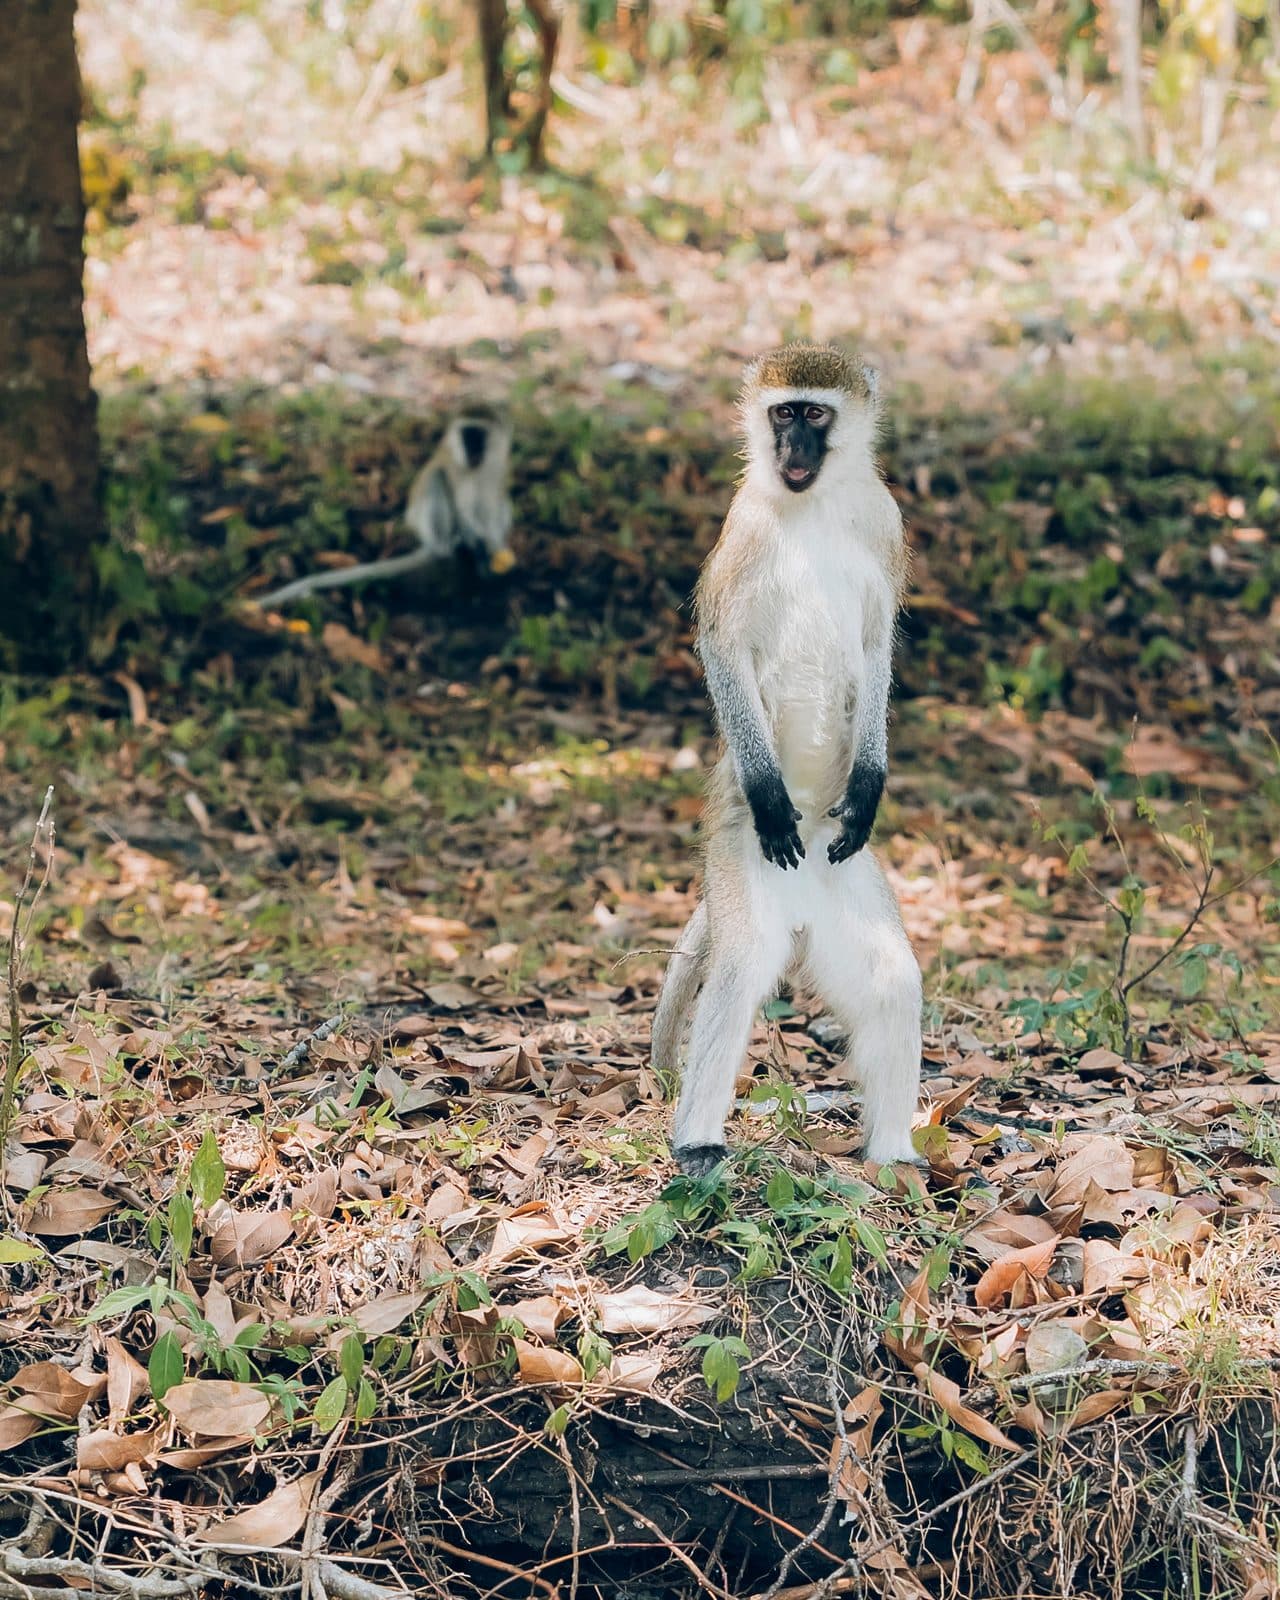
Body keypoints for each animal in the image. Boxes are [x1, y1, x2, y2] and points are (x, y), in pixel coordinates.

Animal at [253, 406, 515, 609]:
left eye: (479, 435)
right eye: (467, 435)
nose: (472, 451)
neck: (477, 467)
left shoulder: (497, 466)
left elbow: (492, 506)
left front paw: (495, 550)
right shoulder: (457, 470)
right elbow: (462, 508)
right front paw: (481, 548)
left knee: (500, 502)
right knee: (437, 480)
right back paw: (447, 547)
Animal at [650, 344, 922, 1180]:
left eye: (815, 415)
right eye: (782, 413)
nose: (793, 448)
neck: (814, 508)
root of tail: (802, 914)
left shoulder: (884, 520)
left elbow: (877, 642)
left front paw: (870, 785)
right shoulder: (744, 527)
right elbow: (720, 645)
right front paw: (773, 796)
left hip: (845, 882)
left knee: (894, 980)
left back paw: (895, 1155)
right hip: (741, 865)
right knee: (739, 972)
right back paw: (699, 1142)